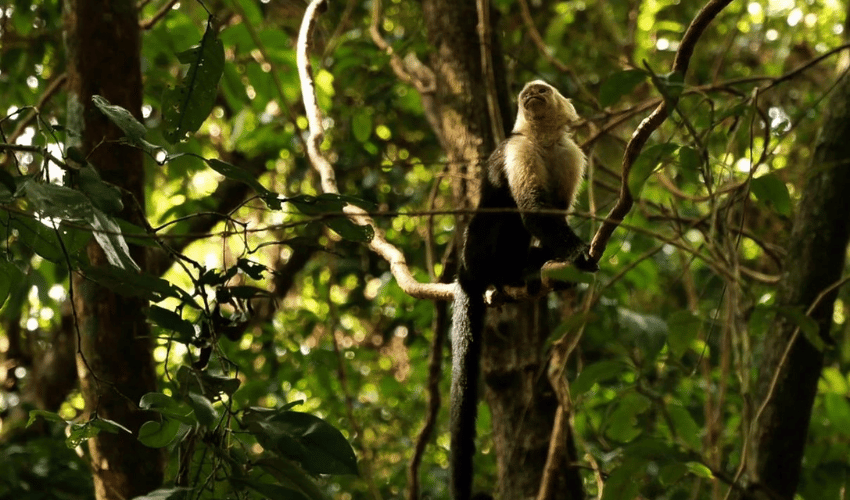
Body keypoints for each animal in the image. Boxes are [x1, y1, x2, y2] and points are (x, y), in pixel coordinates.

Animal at [450, 80, 596, 498]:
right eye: (526, 93)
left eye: (542, 90)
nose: (531, 92)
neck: (542, 139)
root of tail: (465, 268)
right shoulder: (518, 148)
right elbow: (532, 209)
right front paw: (577, 253)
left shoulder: (569, 153)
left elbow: (556, 211)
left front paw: (562, 260)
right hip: (481, 251)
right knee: (505, 215)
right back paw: (512, 274)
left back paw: (534, 267)